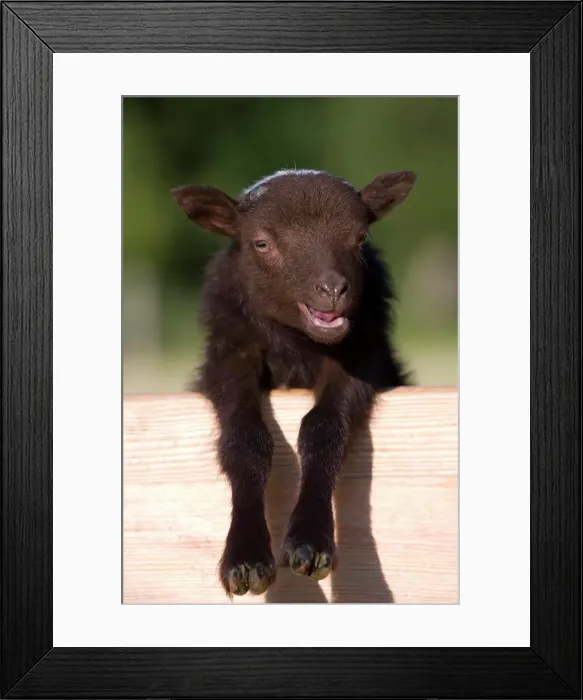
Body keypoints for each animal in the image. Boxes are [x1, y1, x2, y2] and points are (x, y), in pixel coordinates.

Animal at [172, 168, 416, 597]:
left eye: (360, 237)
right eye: (261, 243)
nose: (332, 290)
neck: (296, 345)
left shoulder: (361, 356)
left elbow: (323, 428)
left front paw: (310, 545)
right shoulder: (230, 357)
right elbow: (246, 440)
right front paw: (245, 560)